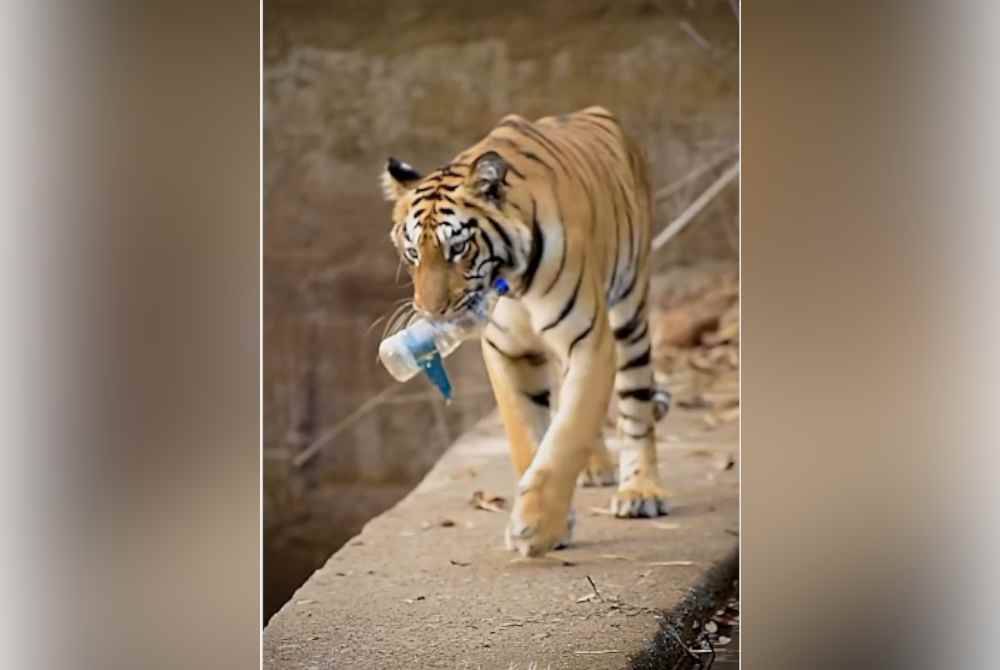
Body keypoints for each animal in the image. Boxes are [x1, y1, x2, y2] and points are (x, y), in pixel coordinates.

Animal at [382, 106, 672, 556]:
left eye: (457, 249)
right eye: (413, 252)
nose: (431, 312)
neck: (514, 284)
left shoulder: (589, 342)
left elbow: (568, 433)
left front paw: (536, 528)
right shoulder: (507, 352)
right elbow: (527, 438)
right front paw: (551, 520)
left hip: (630, 311)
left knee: (635, 403)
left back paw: (640, 491)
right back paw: (596, 467)